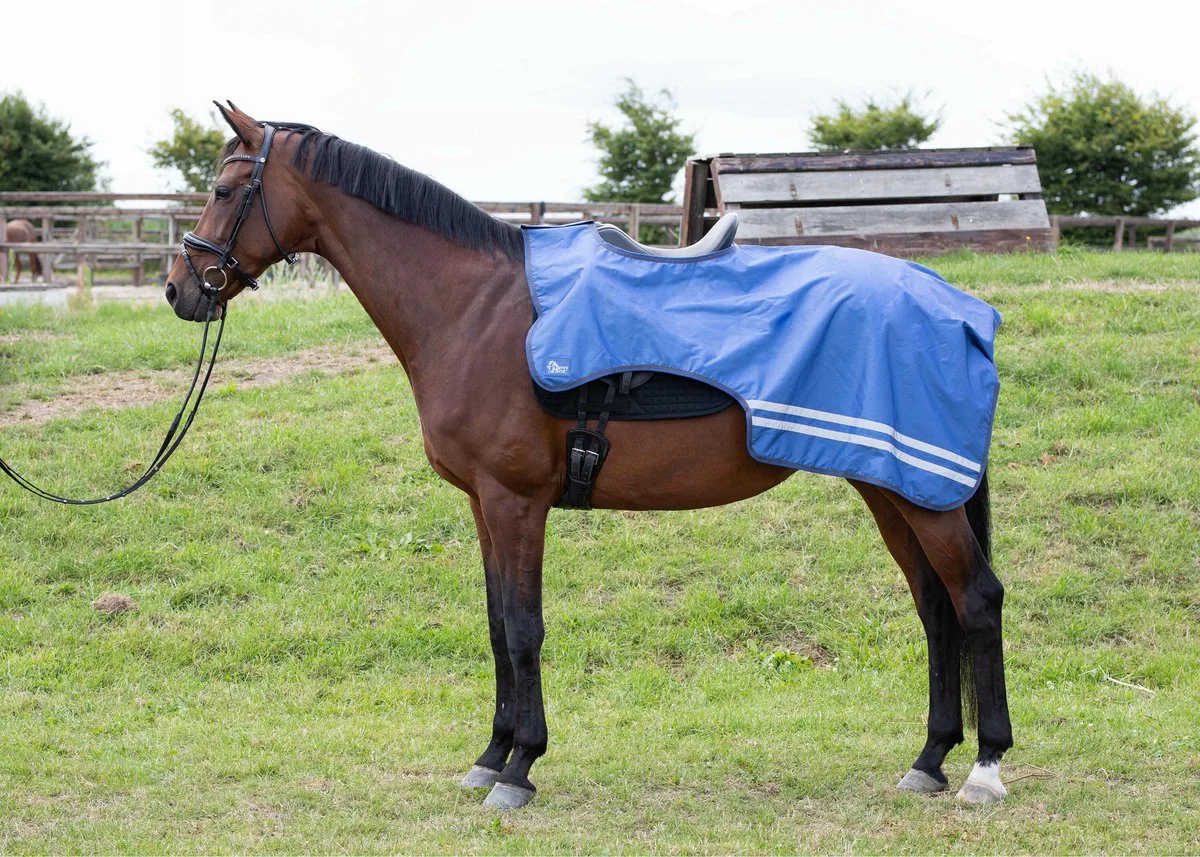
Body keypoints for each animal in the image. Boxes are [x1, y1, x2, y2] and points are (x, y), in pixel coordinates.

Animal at [164, 103, 1012, 810]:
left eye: (225, 187)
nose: (180, 288)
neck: (473, 311)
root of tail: (961, 311)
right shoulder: (482, 503)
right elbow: (495, 624)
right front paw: (490, 755)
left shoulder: (516, 501)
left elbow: (523, 627)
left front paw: (519, 768)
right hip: (890, 487)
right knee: (935, 607)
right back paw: (929, 759)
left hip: (922, 494)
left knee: (975, 599)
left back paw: (983, 767)